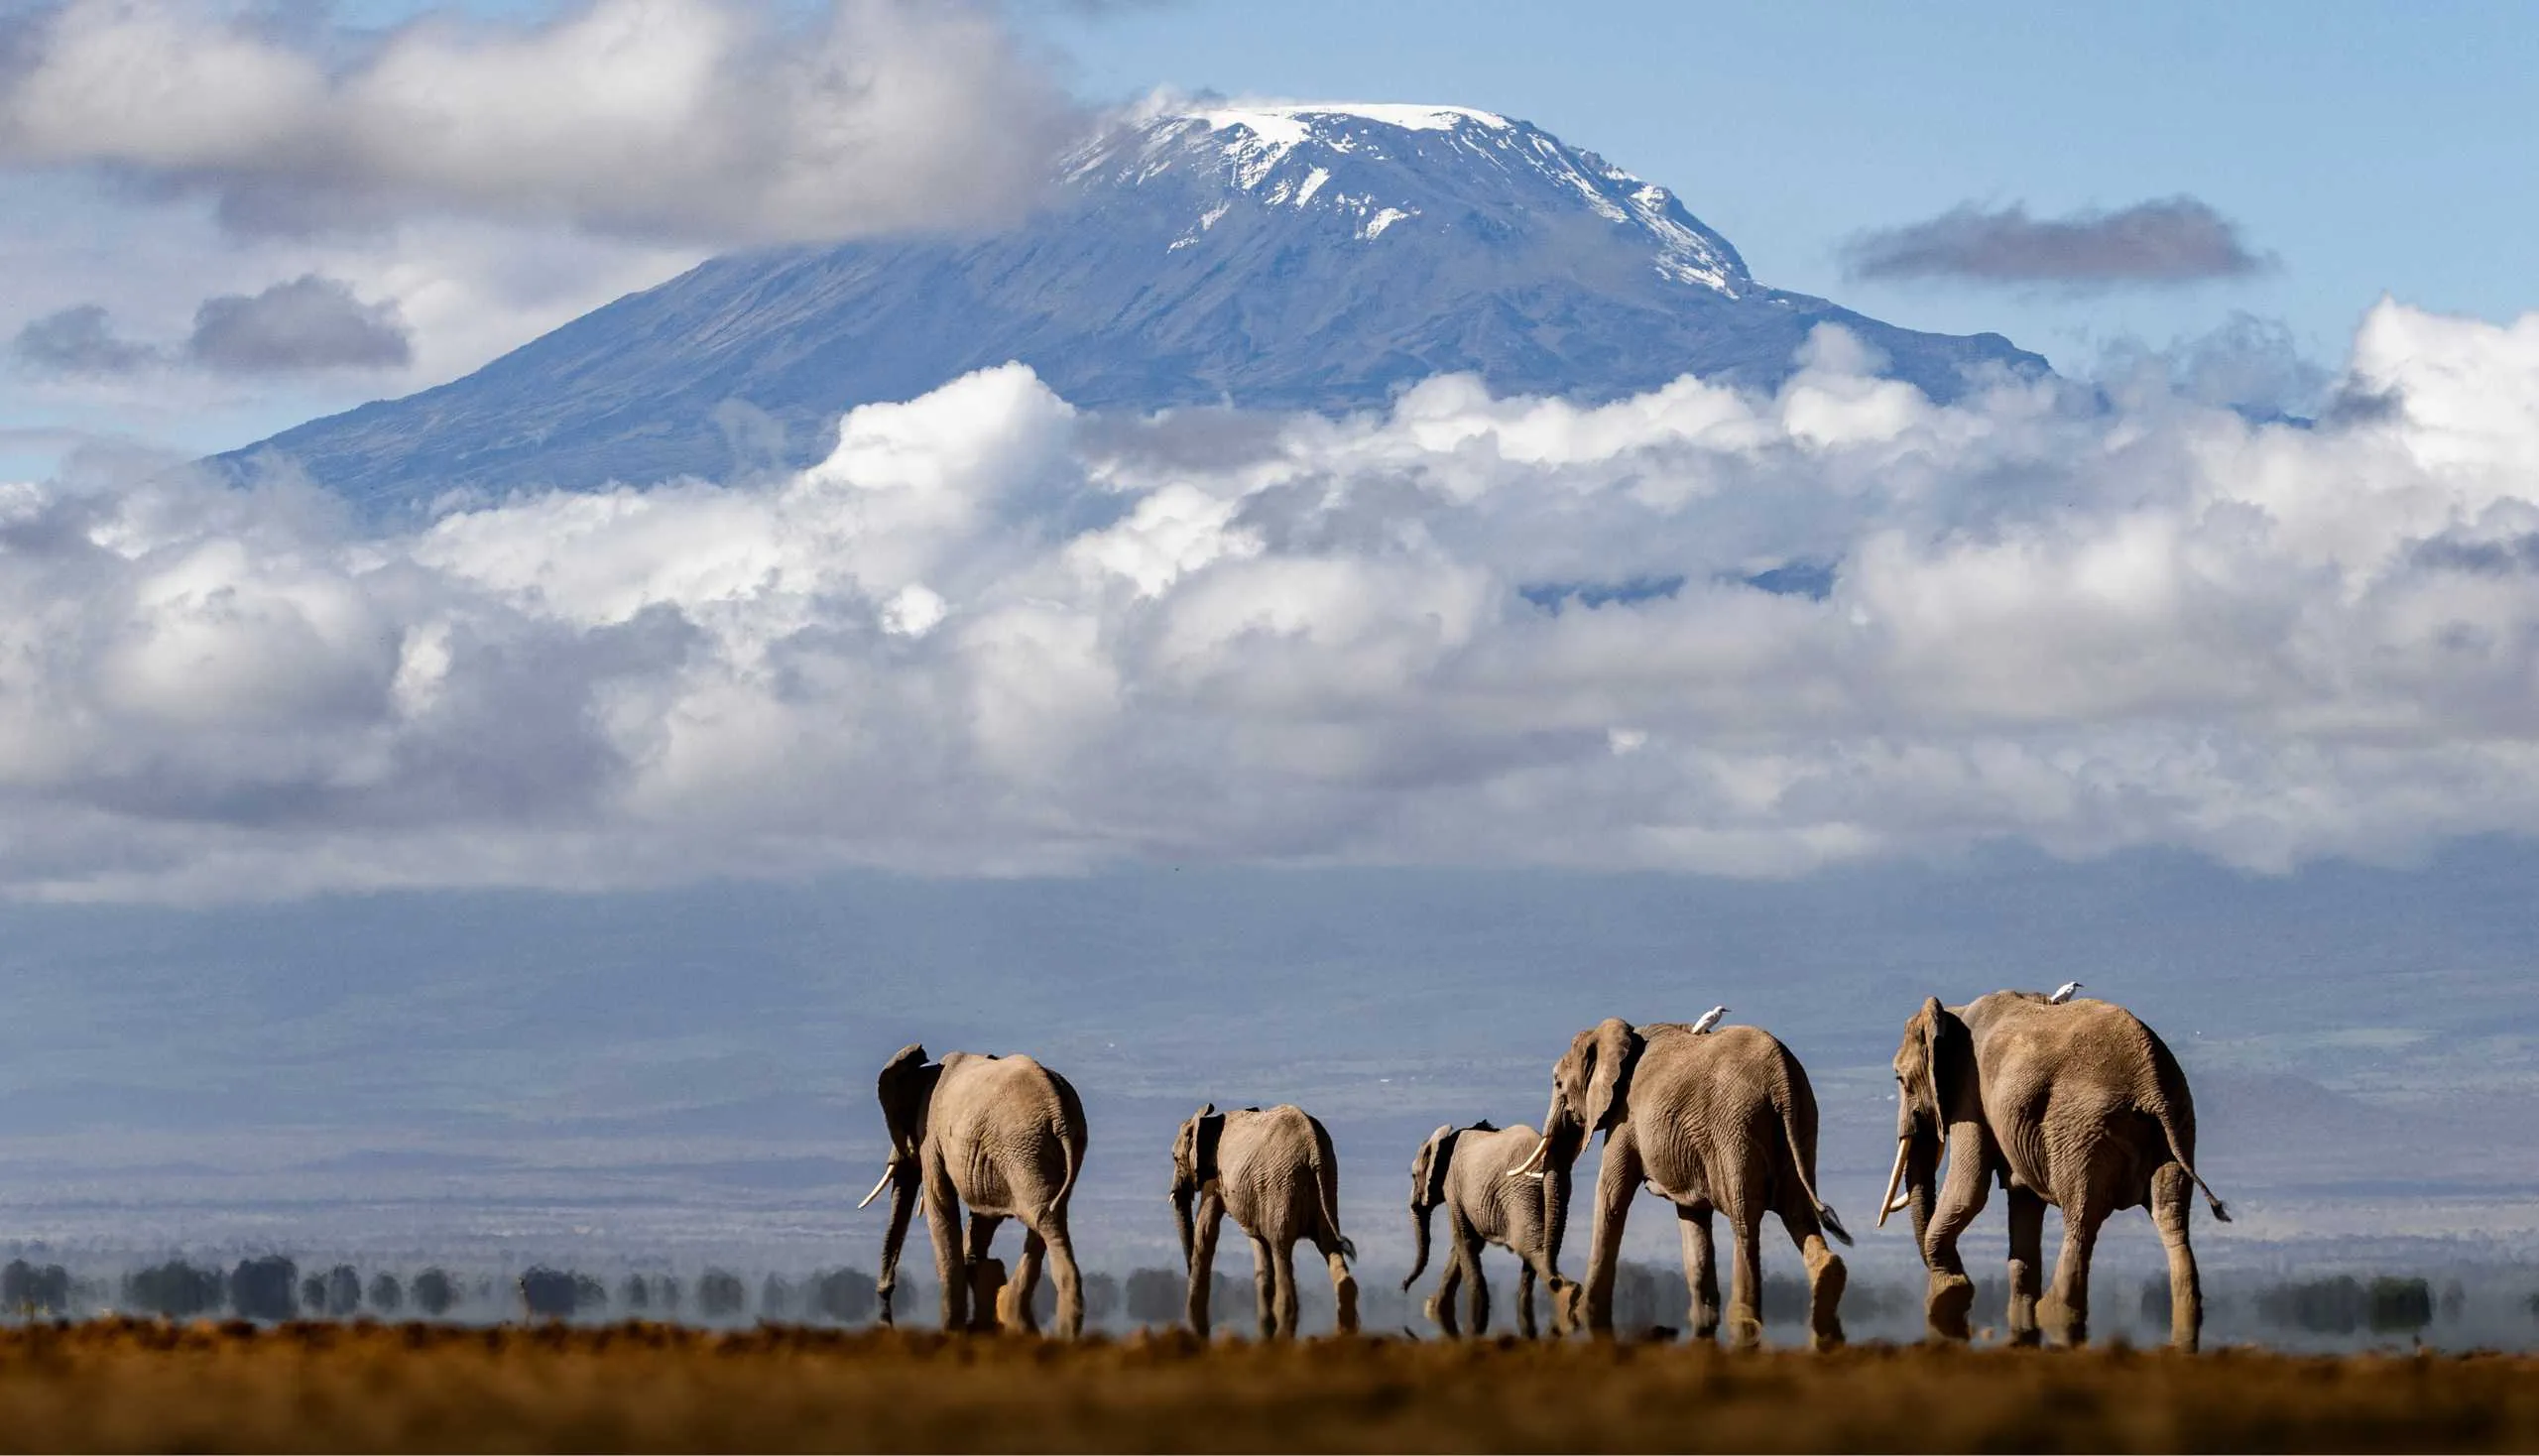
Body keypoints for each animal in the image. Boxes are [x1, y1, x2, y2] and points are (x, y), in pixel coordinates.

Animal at [862, 1043, 1088, 1336]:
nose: (885, 1292)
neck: (925, 1071)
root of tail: (1058, 1109)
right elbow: (983, 1215)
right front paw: (973, 1261)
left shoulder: (930, 1134)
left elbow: (939, 1199)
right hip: (1049, 1147)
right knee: (1050, 1212)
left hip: (1023, 1150)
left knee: (1044, 1218)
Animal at [1170, 1103, 1360, 1338]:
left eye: (1175, 1158)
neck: (1209, 1118)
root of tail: (1314, 1150)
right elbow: (1259, 1247)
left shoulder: (1214, 1178)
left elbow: (1206, 1233)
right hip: (1323, 1189)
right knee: (1330, 1247)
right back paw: (1345, 1333)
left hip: (1282, 1187)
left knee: (1281, 1250)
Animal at [1402, 1120, 1571, 1338]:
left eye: (1414, 1176)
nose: (1404, 1287)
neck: (1445, 1138)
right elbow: (1469, 1243)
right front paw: (1434, 1308)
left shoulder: (1453, 1187)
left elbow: (1464, 1239)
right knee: (1534, 1247)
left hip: (1521, 1194)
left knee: (1528, 1245)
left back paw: (1567, 1299)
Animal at [1520, 1018, 1852, 1348]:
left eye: (1558, 1083)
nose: (1562, 1284)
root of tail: (1781, 1077)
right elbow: (1692, 1217)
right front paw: (1703, 1317)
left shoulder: (1624, 1118)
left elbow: (1611, 1194)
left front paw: (1586, 1310)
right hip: (1801, 1125)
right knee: (1798, 1212)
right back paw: (1827, 1288)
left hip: (1736, 1130)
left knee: (1745, 1221)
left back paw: (1744, 1322)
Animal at [1879, 991, 2230, 1351]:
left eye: (1900, 1079)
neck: (1953, 1013)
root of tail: (2150, 1083)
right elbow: (2022, 1200)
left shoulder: (1969, 1093)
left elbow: (1970, 1189)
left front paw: (1949, 1294)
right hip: (2178, 1124)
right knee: (2170, 1215)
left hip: (2081, 1131)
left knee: (2081, 1218)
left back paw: (2055, 1313)